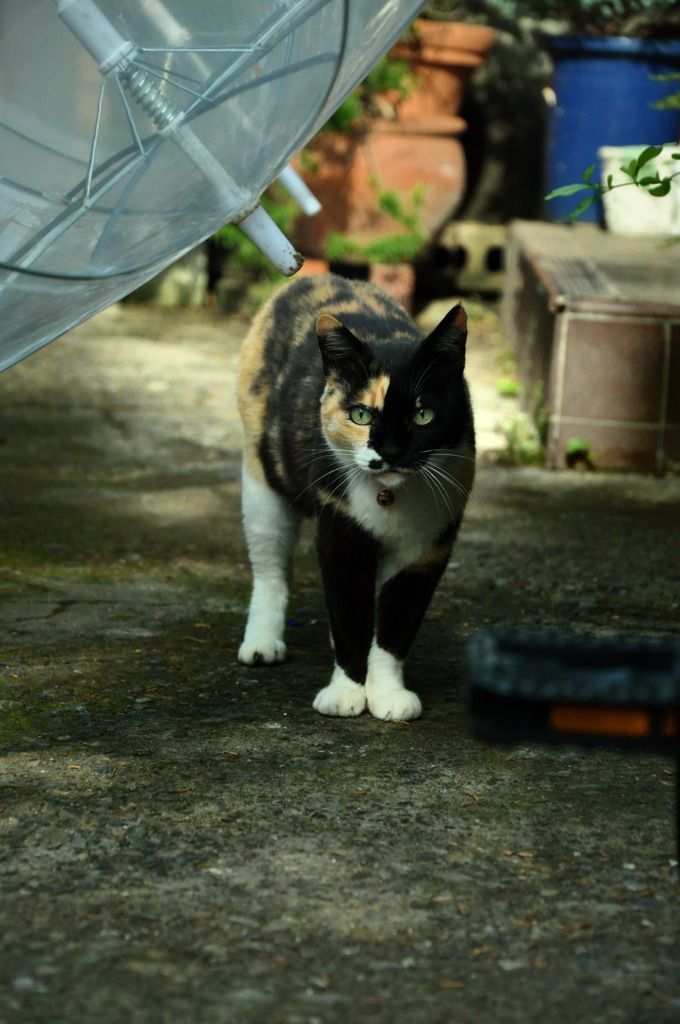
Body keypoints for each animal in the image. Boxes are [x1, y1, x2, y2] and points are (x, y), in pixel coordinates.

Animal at [236, 272, 475, 720]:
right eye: (360, 415)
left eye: (423, 414)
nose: (391, 452)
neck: (389, 498)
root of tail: (313, 276)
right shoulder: (339, 535)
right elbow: (349, 616)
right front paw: (345, 691)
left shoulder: (427, 548)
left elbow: (396, 624)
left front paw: (387, 693)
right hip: (261, 482)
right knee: (271, 567)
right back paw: (261, 643)